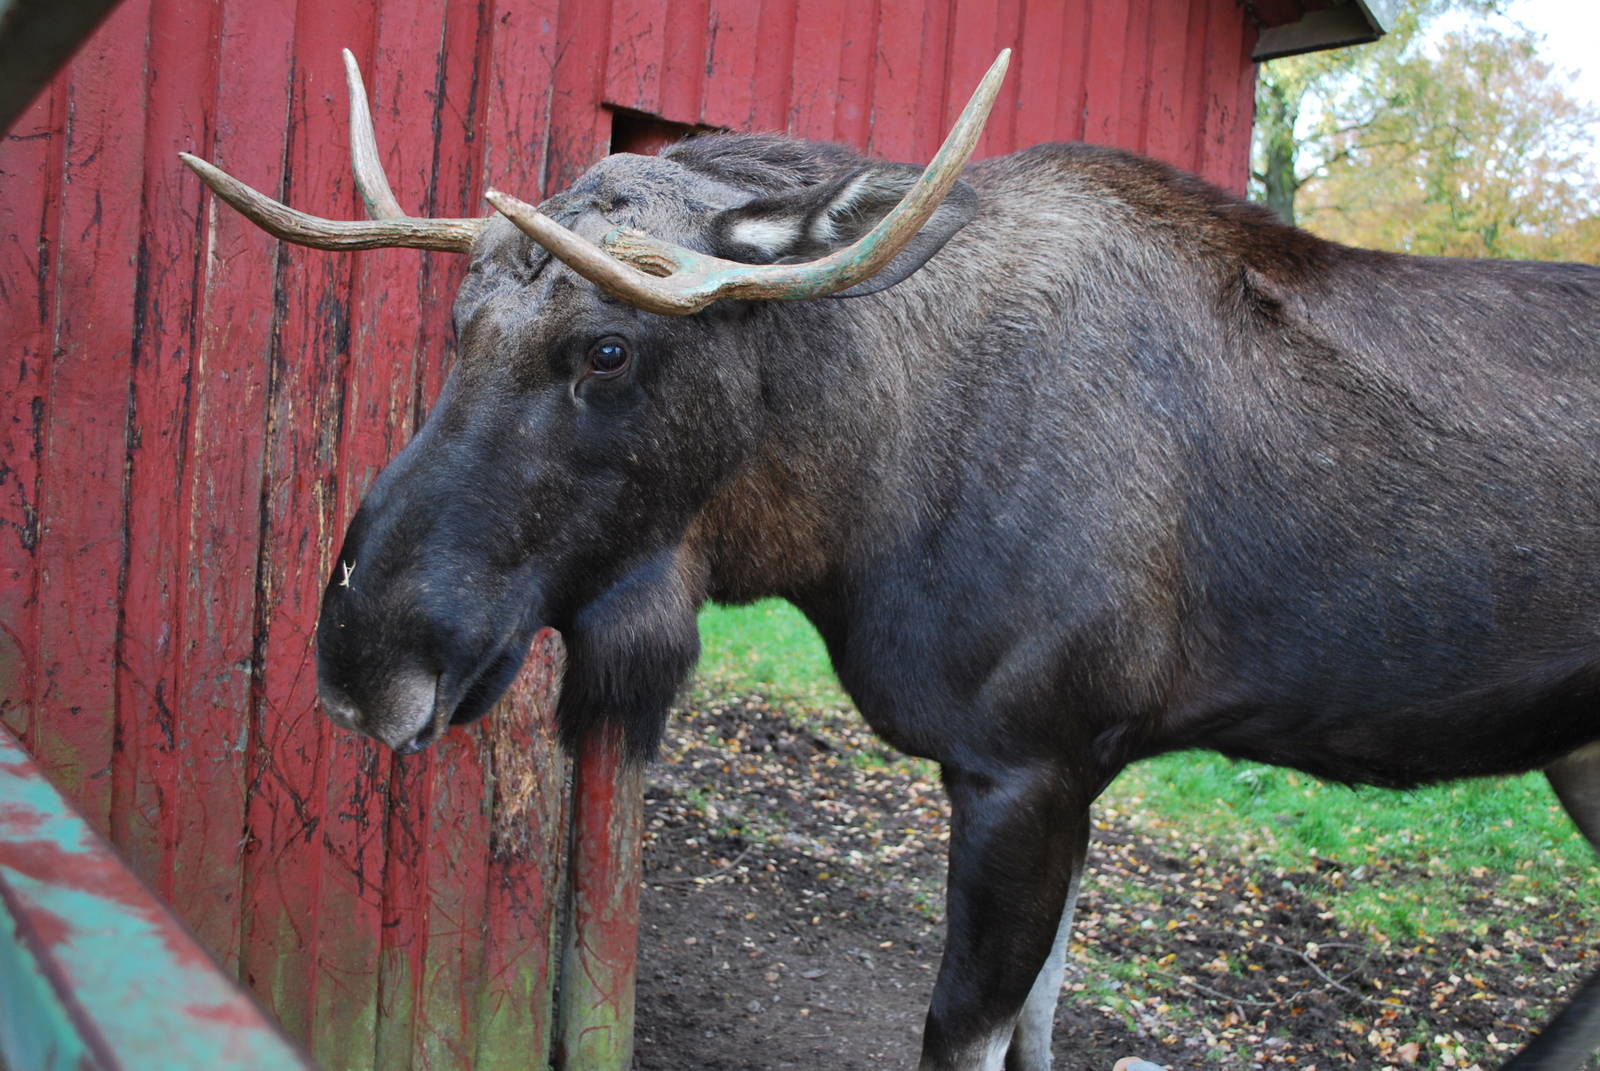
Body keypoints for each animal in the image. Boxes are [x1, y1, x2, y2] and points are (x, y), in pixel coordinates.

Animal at [181, 49, 1600, 1071]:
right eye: (459, 323)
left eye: (607, 348)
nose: (363, 652)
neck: (848, 517)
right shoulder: (1070, 768)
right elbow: (1039, 1022)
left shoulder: (1024, 762)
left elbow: (966, 1033)